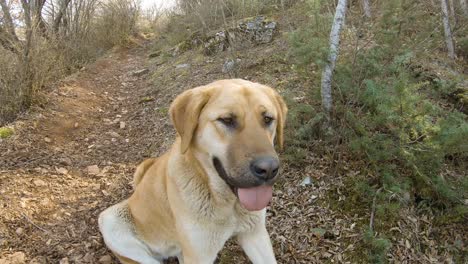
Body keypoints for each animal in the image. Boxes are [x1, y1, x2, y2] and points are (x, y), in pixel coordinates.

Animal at [98, 79, 288, 262]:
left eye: (268, 119)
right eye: (227, 120)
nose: (268, 169)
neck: (226, 203)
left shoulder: (255, 235)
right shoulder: (199, 254)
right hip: (110, 220)